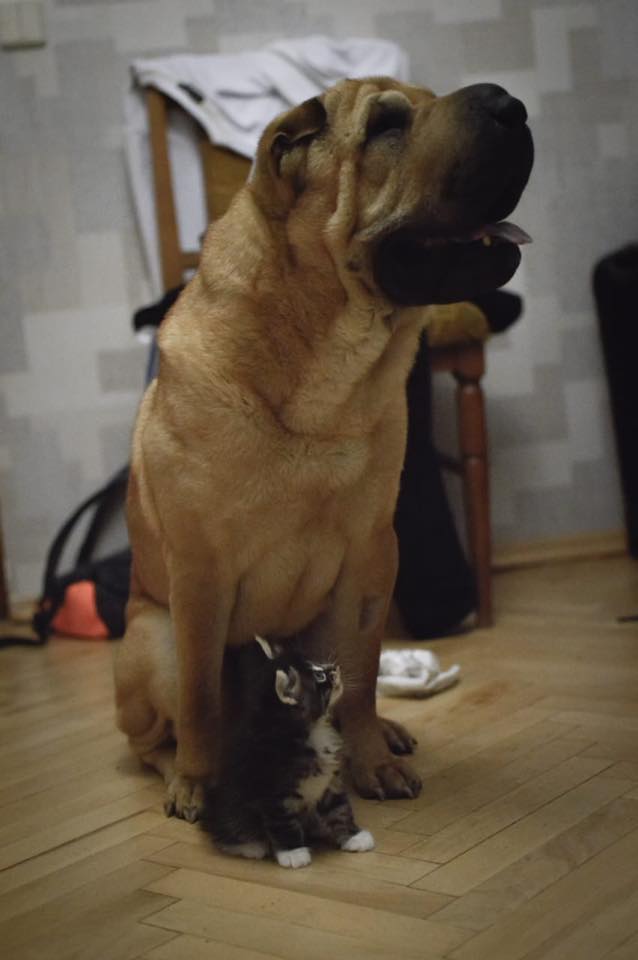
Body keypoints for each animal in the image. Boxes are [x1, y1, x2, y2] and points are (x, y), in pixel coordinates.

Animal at [115, 79, 536, 820]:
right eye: (386, 125)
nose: (510, 103)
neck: (324, 353)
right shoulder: (199, 572)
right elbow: (199, 697)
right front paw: (197, 782)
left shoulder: (371, 555)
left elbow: (362, 678)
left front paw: (372, 761)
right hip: (149, 641)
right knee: (155, 735)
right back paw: (182, 773)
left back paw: (382, 734)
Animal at [204, 636, 376, 872]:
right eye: (320, 676)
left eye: (318, 665)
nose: (334, 667)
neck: (310, 730)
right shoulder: (272, 794)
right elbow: (283, 824)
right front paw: (293, 853)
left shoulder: (329, 782)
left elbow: (340, 809)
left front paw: (353, 837)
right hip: (231, 808)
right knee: (226, 831)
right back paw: (252, 846)